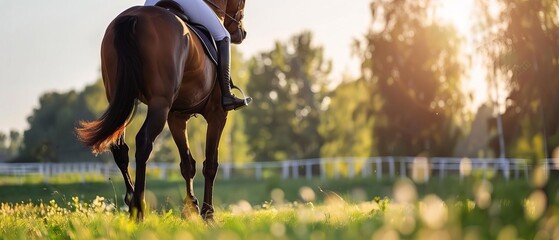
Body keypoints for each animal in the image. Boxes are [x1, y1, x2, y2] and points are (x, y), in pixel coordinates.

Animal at [75, 0, 247, 221]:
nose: (242, 33)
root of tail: (134, 17)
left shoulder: (177, 117)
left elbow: (187, 164)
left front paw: (191, 209)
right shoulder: (217, 114)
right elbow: (210, 164)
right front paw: (207, 214)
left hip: (122, 99)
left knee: (120, 149)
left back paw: (131, 198)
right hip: (159, 104)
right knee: (144, 142)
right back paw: (138, 208)